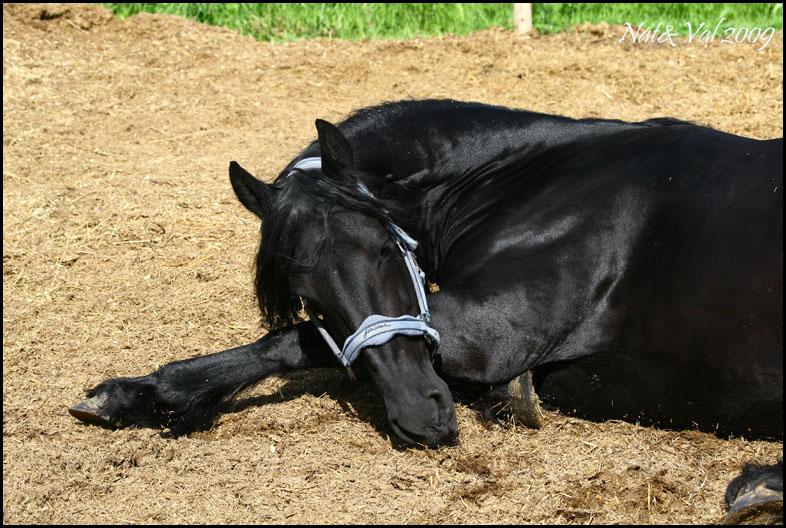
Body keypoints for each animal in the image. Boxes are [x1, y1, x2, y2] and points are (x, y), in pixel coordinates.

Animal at [72, 100, 776, 520]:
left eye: (388, 246)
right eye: (306, 292)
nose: (424, 417)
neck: (535, 177)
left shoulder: (493, 328)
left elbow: (293, 343)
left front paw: (148, 392)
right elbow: (313, 340)